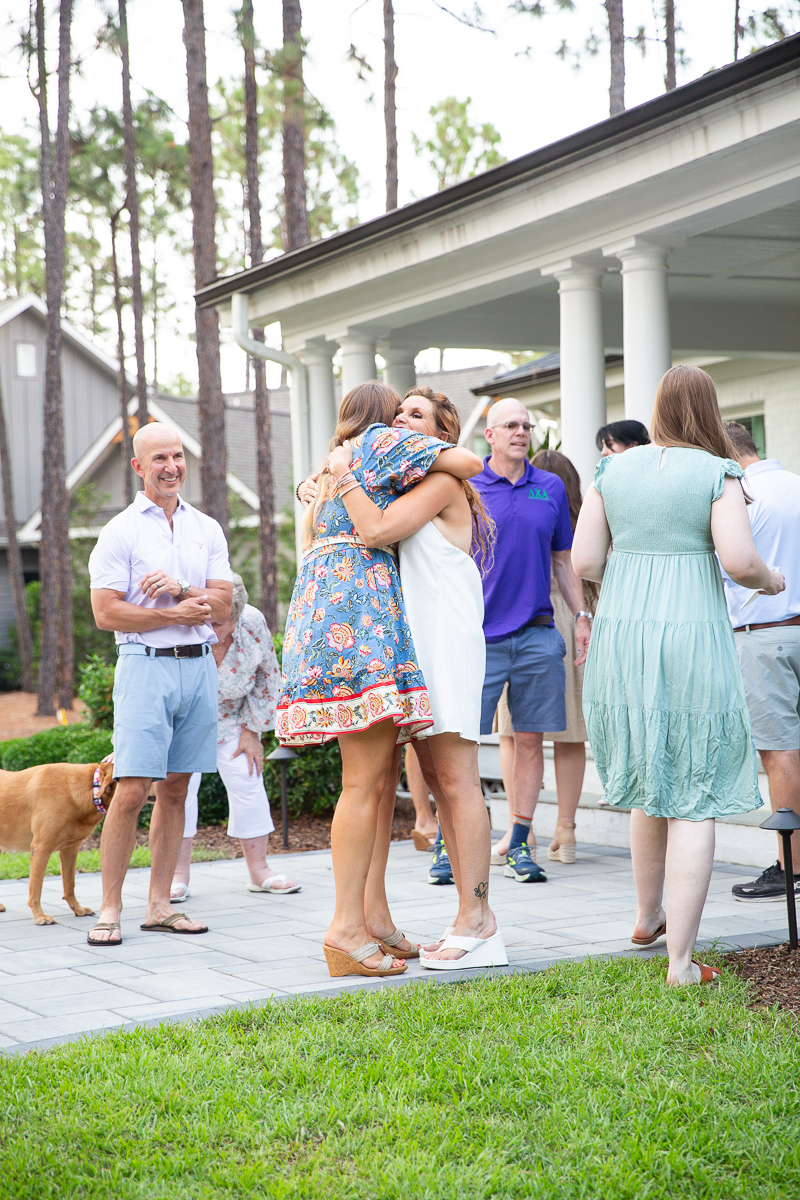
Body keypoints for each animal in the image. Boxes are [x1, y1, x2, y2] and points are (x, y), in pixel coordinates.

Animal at [0, 758, 116, 926]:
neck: (90, 789)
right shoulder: (41, 849)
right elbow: (36, 889)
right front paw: (39, 916)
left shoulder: (70, 850)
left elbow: (69, 885)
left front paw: (77, 909)